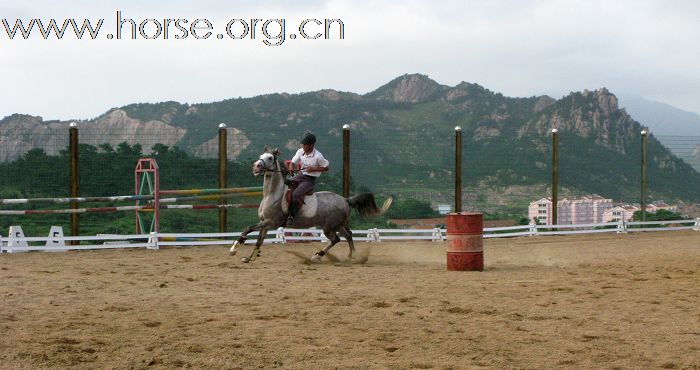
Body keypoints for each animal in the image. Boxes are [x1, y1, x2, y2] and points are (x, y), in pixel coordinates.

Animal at [231, 147, 392, 264]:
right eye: (261, 155)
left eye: (270, 158)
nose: (256, 167)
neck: (273, 195)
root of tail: (345, 200)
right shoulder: (264, 223)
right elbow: (259, 241)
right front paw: (249, 258)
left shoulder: (270, 222)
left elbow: (247, 229)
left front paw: (235, 247)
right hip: (338, 225)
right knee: (348, 236)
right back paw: (352, 256)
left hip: (328, 227)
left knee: (336, 239)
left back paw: (318, 256)